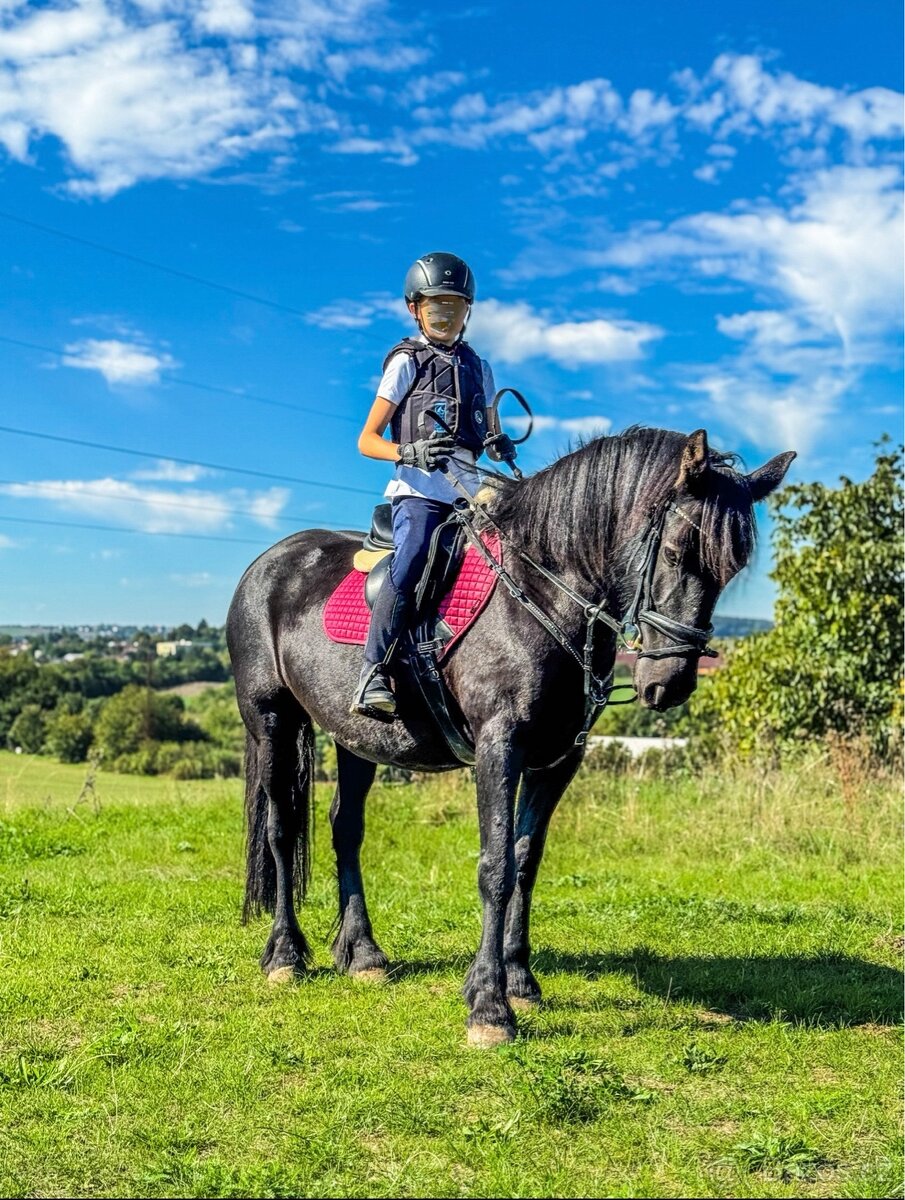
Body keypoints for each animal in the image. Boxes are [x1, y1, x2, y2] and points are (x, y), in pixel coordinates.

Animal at [226, 425, 795, 1046]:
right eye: (674, 552)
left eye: (729, 571)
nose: (668, 684)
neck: (541, 596)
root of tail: (266, 564)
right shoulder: (499, 746)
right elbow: (495, 867)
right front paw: (489, 1007)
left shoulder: (558, 759)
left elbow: (525, 861)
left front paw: (519, 980)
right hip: (271, 720)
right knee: (280, 827)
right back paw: (285, 954)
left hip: (357, 739)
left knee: (344, 829)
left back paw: (363, 954)